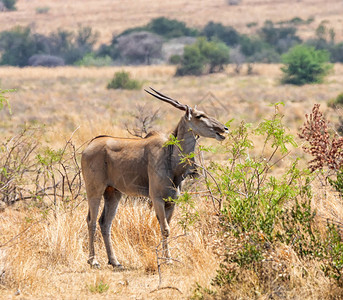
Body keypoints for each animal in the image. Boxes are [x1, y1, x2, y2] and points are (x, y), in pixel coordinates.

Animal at [82, 87, 230, 270]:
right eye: (200, 116)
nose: (224, 129)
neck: (171, 157)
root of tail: (89, 146)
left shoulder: (171, 201)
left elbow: (166, 227)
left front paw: (168, 258)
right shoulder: (157, 198)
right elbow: (165, 228)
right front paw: (168, 260)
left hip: (113, 192)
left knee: (105, 222)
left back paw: (114, 261)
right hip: (94, 190)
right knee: (91, 220)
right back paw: (93, 260)